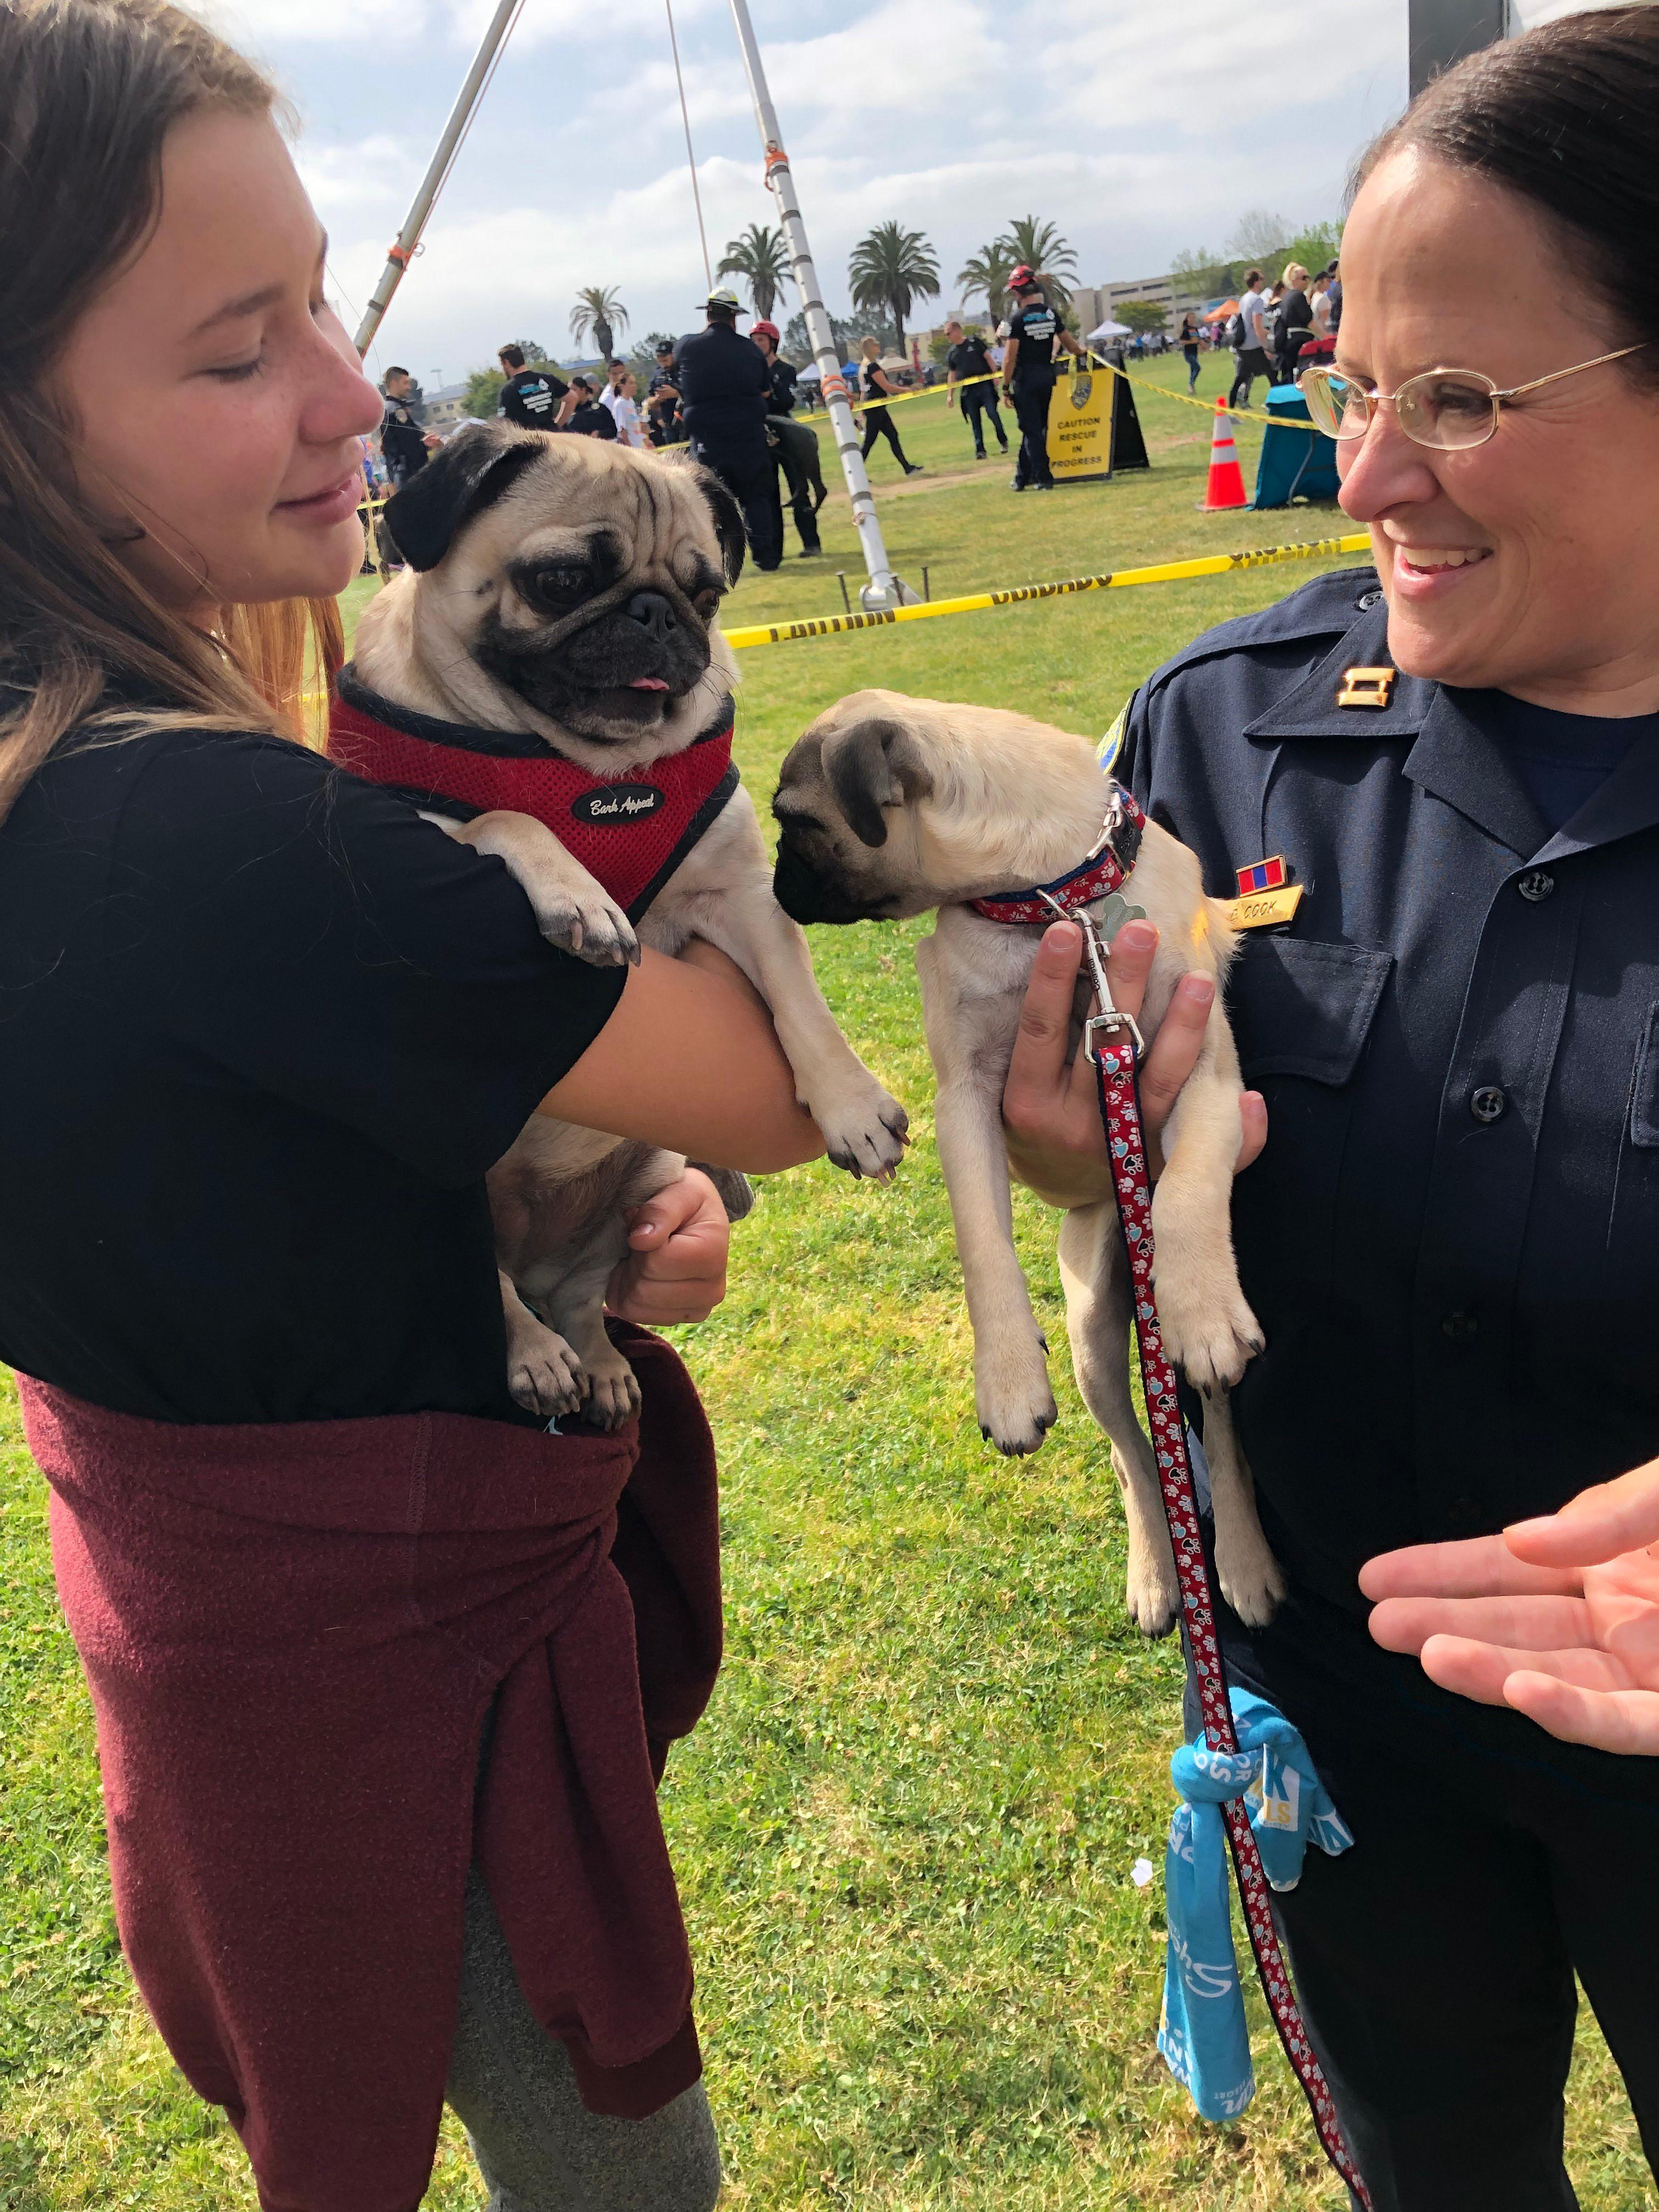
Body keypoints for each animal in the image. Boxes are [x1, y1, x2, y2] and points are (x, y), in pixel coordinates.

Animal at [340, 427, 911, 1433]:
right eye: (563, 580)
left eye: (707, 593)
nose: (656, 615)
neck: (585, 771)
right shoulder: (420, 828)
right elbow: (502, 818)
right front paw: (580, 898)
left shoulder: (740, 897)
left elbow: (802, 1009)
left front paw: (852, 1105)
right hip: (452, 1197)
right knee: (498, 1295)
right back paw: (533, 1357)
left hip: (643, 1179)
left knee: (576, 1298)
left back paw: (601, 1364)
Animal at [770, 690, 1283, 1645]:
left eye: (798, 824)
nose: (777, 889)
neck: (1050, 904)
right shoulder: (966, 1102)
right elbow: (983, 1249)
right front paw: (1007, 1377)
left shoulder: (1207, 1073)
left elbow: (1190, 1185)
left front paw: (1199, 1302)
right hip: (1091, 1336)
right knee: (1134, 1457)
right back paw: (1157, 1578)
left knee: (1218, 1426)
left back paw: (1242, 1562)